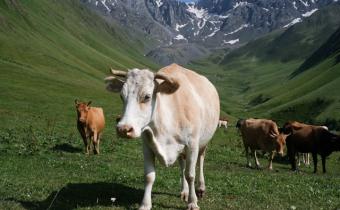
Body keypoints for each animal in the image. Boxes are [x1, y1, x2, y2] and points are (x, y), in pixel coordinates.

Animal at [105, 63, 219, 210]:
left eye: (147, 96)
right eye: (121, 96)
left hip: (204, 142)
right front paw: (145, 204)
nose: (123, 129)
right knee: (182, 164)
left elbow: (190, 174)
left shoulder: (192, 144)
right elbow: (149, 176)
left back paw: (200, 189)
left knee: (200, 160)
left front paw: (193, 202)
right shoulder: (147, 145)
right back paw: (184, 191)